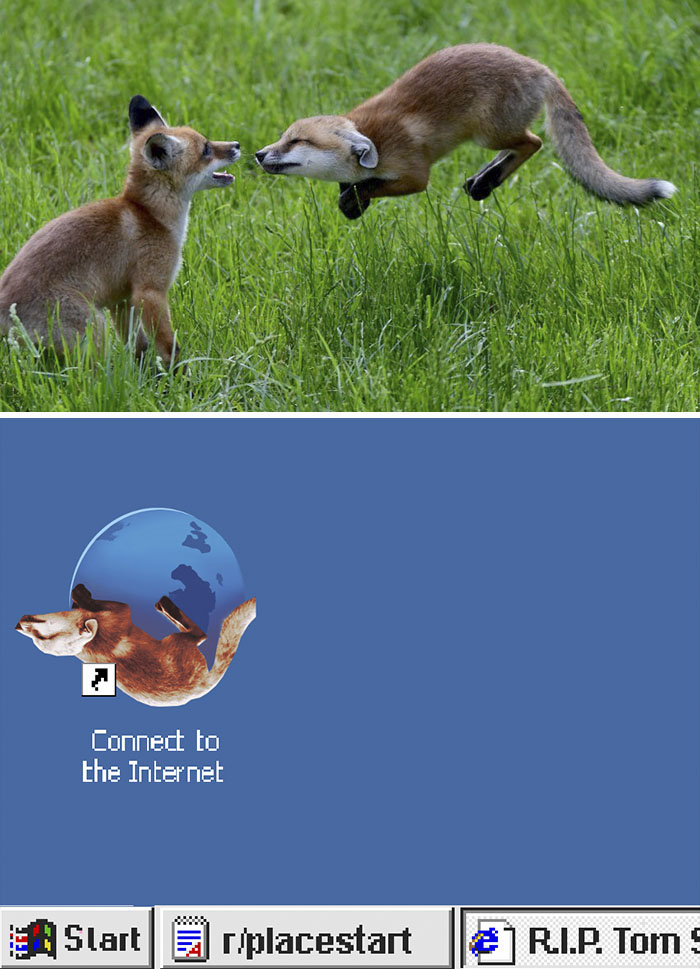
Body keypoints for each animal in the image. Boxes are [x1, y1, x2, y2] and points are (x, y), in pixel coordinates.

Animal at [0, 96, 240, 366]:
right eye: (206, 149)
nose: (237, 145)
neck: (150, 215)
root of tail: (4, 307)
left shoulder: (122, 300)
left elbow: (139, 347)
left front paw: (144, 373)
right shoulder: (150, 292)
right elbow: (170, 348)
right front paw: (178, 375)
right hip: (93, 330)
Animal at [15, 583, 256, 707]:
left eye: (40, 636)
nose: (21, 624)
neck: (91, 647)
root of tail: (204, 684)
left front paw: (79, 596)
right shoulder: (121, 612)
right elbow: (97, 603)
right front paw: (81, 593)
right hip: (176, 640)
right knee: (200, 634)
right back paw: (166, 606)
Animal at [255, 44, 677, 219]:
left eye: (297, 141)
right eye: (284, 136)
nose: (258, 154)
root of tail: (539, 67)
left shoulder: (414, 174)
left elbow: (374, 184)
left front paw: (356, 198)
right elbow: (354, 188)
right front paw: (352, 204)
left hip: (490, 133)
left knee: (534, 142)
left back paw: (487, 181)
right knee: (522, 147)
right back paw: (483, 180)